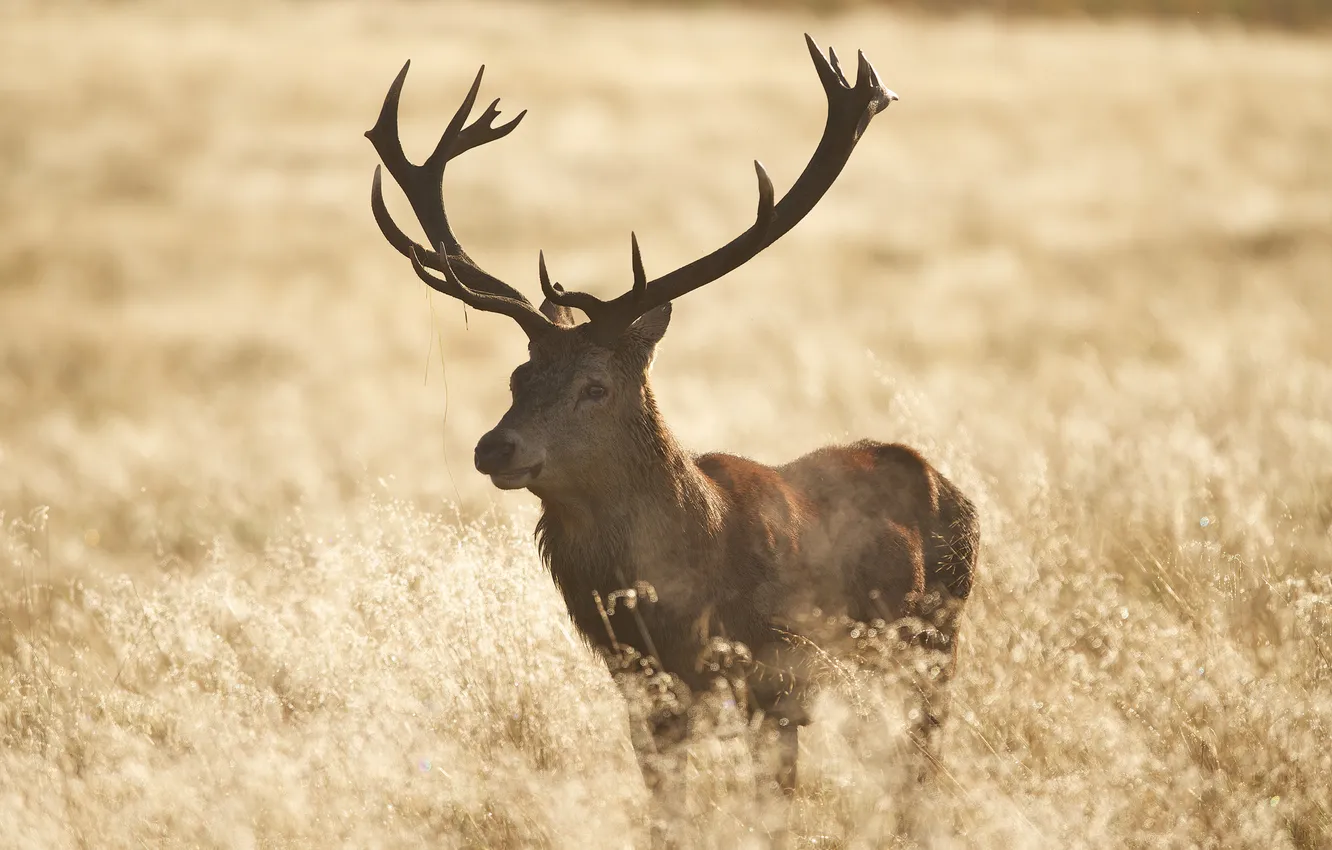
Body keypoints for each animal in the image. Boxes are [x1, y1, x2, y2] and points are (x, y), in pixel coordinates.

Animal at [365, 34, 979, 821]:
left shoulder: (779, 675)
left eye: (596, 386)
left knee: (920, 761)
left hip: (936, 638)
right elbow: (667, 810)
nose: (494, 446)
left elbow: (775, 807)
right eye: (517, 378)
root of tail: (948, 485)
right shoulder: (642, 689)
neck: (685, 586)